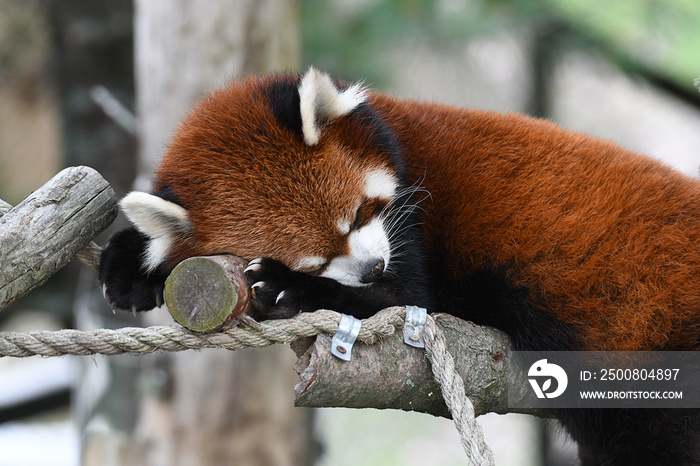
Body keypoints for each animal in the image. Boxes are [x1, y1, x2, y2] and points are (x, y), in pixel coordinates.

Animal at [100, 67, 700, 464]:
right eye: (318, 254)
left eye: (359, 214)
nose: (371, 267)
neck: (395, 130)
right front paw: (130, 260)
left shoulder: (411, 225)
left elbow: (407, 297)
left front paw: (284, 287)